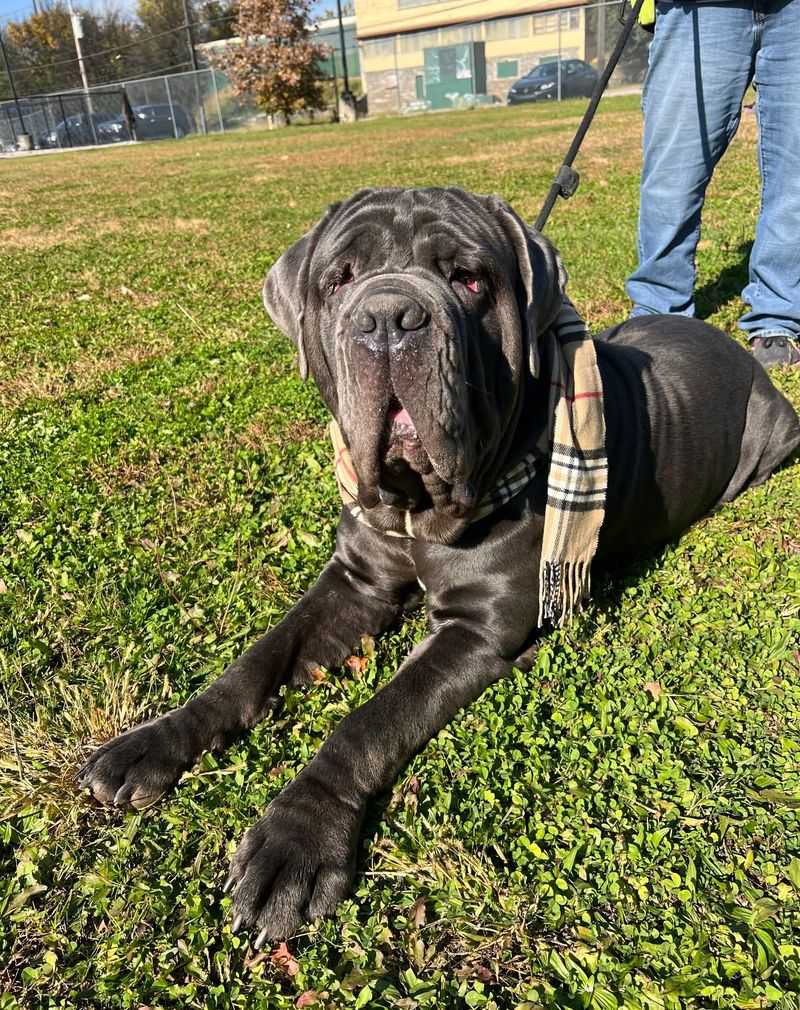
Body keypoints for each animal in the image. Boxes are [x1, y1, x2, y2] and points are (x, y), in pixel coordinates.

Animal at [79, 185, 799, 941]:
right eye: (339, 279)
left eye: (469, 279)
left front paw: (296, 840)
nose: (388, 319)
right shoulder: (355, 580)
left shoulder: (476, 630)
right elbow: (257, 661)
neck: (417, 507)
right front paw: (155, 741)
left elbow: (370, 720)